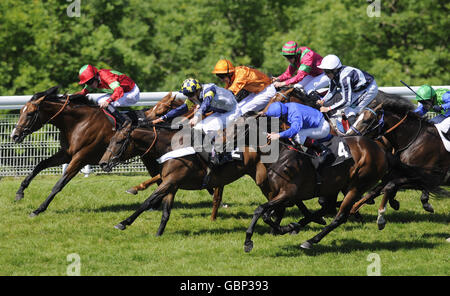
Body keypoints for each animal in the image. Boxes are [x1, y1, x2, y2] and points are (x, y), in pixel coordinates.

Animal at [10, 86, 172, 216]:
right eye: (21, 111)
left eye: (30, 113)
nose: (15, 135)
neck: (78, 122)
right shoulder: (67, 154)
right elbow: (40, 165)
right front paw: (19, 192)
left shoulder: (81, 157)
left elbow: (59, 184)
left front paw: (39, 209)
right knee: (158, 175)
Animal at [346, 95, 448, 229]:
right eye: (357, 116)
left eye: (366, 120)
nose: (348, 137)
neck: (414, 140)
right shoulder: (399, 174)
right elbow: (376, 190)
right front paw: (354, 208)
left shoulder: (429, 177)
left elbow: (390, 186)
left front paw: (381, 217)